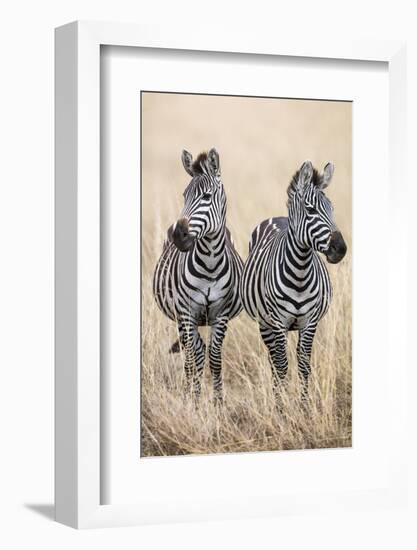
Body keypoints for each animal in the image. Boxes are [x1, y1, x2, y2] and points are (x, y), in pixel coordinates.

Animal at [153, 149, 244, 404]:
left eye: (207, 196)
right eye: (184, 196)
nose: (178, 235)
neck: (210, 264)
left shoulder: (220, 314)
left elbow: (215, 357)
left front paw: (218, 402)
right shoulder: (186, 313)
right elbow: (194, 357)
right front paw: (193, 401)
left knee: (201, 350)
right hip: (180, 319)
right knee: (190, 353)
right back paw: (189, 393)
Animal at [239, 162, 346, 404]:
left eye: (332, 208)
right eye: (311, 210)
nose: (341, 249)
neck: (300, 272)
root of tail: (279, 218)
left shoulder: (309, 322)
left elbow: (304, 366)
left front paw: (304, 406)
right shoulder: (278, 322)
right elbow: (281, 367)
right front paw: (281, 408)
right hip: (265, 323)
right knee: (273, 360)